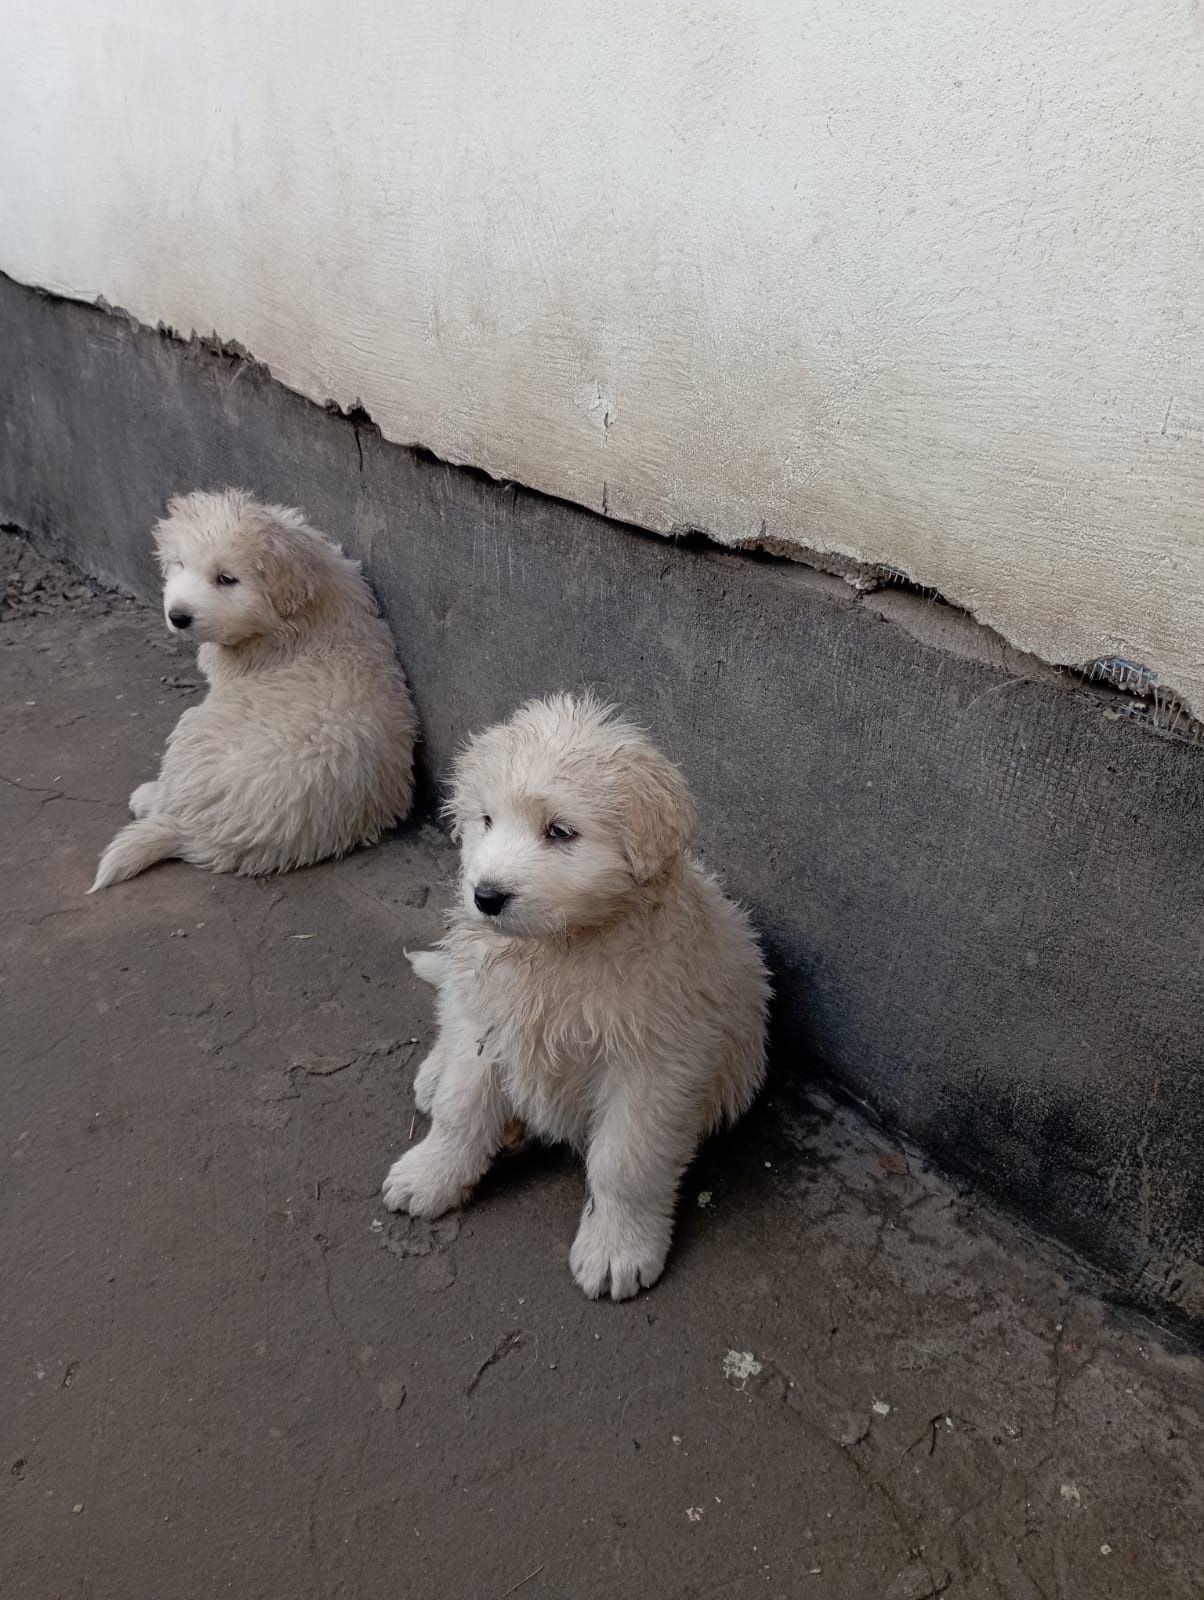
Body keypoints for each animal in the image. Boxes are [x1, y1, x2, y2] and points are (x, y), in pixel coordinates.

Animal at [90, 486, 419, 889]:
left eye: (226, 579)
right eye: (180, 564)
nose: (177, 616)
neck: (291, 620)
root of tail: (195, 833)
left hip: (195, 731)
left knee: (169, 795)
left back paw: (146, 796)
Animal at [385, 697, 771, 1299]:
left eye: (560, 831)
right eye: (486, 821)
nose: (485, 896)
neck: (561, 951)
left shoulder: (655, 1066)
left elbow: (625, 1164)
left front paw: (617, 1247)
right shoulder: (490, 1021)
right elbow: (460, 1108)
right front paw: (432, 1173)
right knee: (449, 1014)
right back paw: (434, 1075)